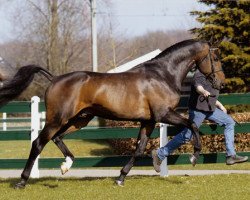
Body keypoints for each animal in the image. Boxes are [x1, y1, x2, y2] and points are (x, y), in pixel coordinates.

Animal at [0, 38, 225, 188]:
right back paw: (22, 181)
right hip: (57, 119)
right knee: (38, 142)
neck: (163, 75)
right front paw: (195, 156)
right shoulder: (164, 115)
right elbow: (192, 124)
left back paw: (66, 165)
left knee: (57, 138)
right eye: (214, 58)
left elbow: (139, 149)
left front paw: (120, 178)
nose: (220, 83)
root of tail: (55, 79)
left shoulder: (149, 121)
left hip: (80, 119)